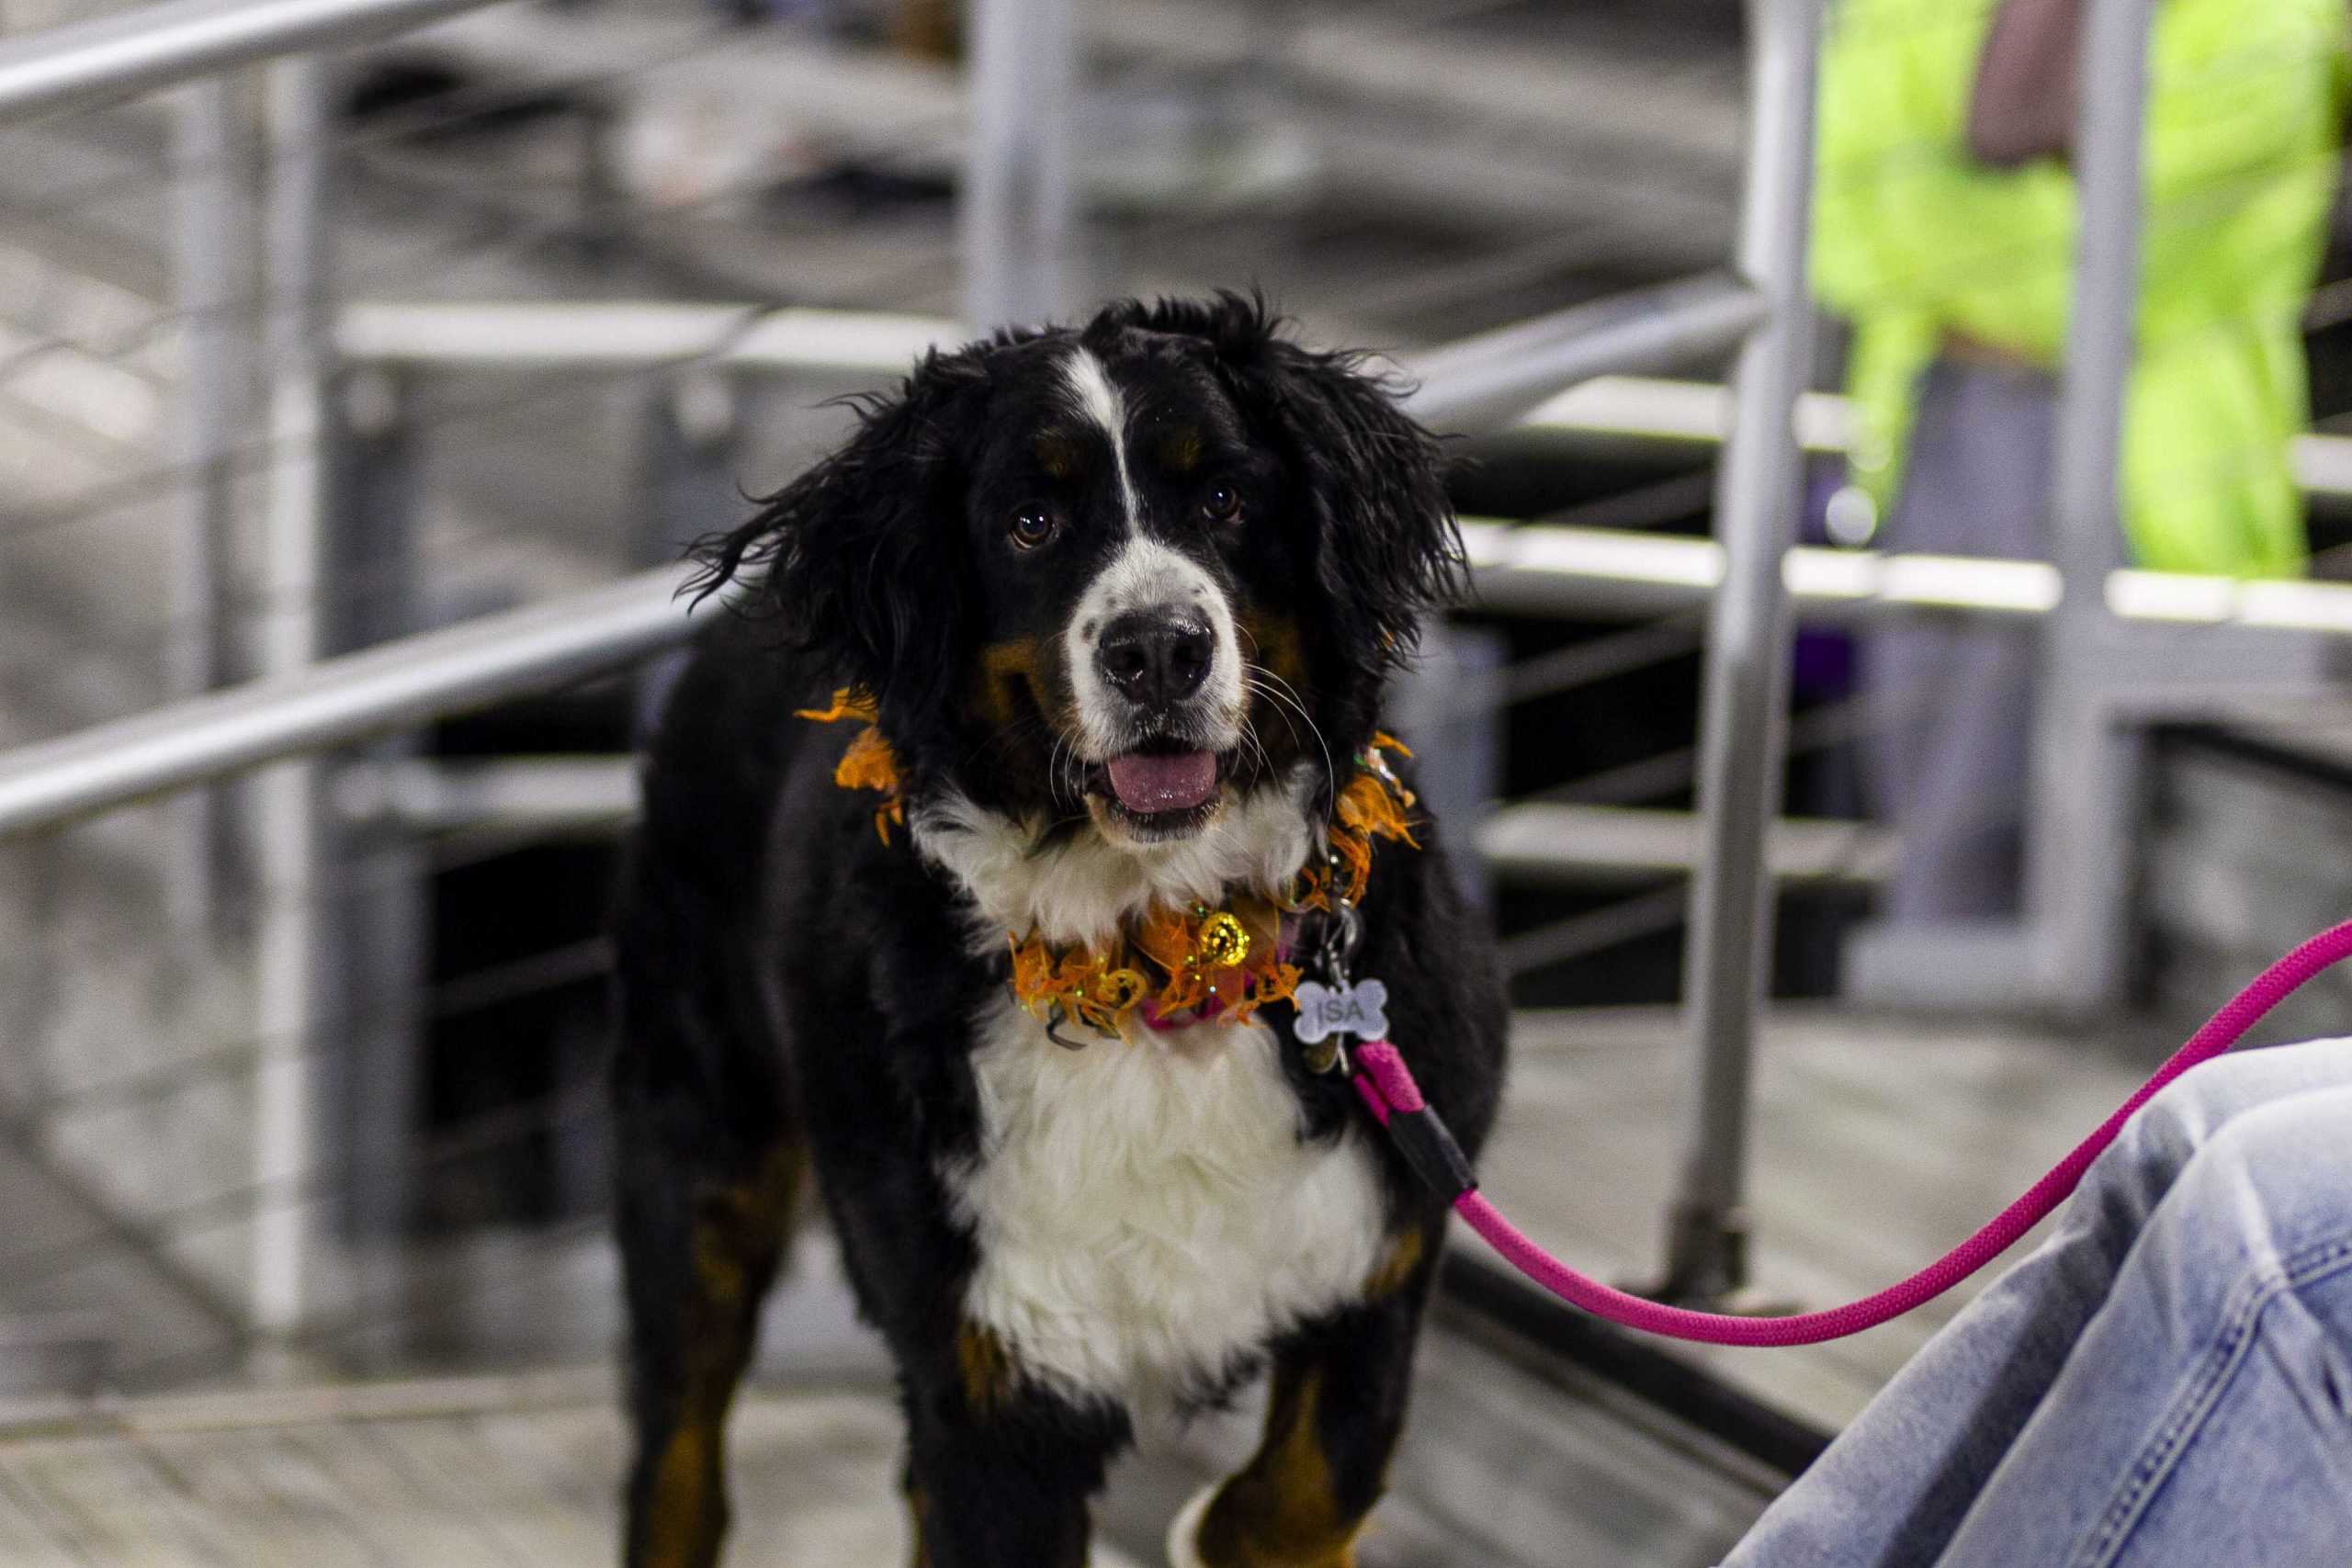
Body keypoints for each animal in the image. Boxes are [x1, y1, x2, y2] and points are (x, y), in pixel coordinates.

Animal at [597, 297, 1496, 1568]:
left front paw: (1220, 1529)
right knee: (676, 1458)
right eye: (1030, 523)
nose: (1158, 646)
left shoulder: (1384, 1238)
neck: (1162, 956)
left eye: (1225, 498)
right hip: (697, 1148)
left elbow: (1307, 1488)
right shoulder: (991, 1365)